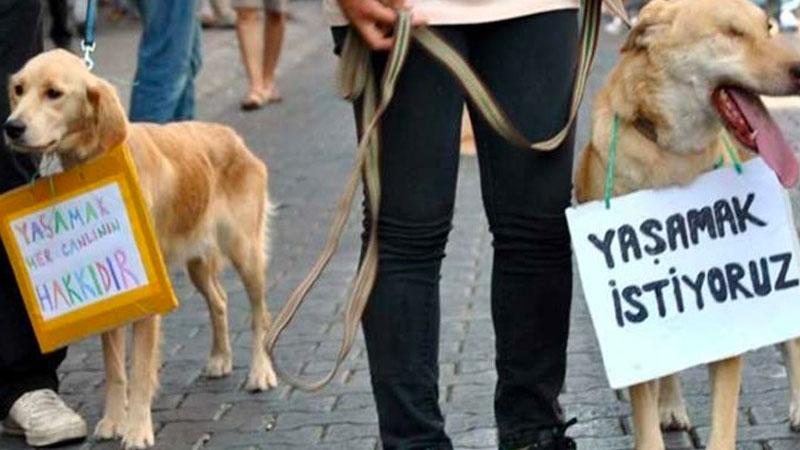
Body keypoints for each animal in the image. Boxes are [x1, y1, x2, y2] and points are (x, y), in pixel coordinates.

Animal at [4, 47, 278, 448]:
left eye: (53, 93)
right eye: (19, 89)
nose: (12, 127)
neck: (94, 157)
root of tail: (233, 137)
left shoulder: (148, 300)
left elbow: (139, 371)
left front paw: (136, 430)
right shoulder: (114, 299)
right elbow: (116, 370)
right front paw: (112, 421)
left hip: (246, 253)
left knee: (260, 315)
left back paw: (260, 372)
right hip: (197, 263)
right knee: (220, 301)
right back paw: (220, 359)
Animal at [576, 0, 800, 446]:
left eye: (768, 27)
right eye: (731, 33)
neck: (673, 159)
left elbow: (724, 421)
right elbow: (645, 412)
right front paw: (658, 415)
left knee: (793, 342)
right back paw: (671, 405)